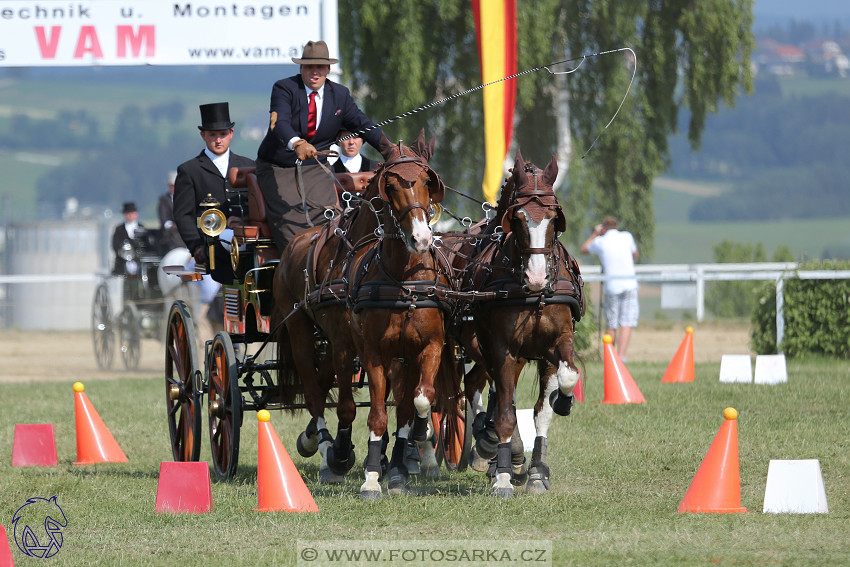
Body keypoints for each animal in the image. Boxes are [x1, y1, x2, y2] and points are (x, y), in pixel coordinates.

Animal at [454, 150, 588, 496]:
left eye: (554, 218)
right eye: (518, 218)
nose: (537, 277)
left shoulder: (557, 343)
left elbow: (551, 400)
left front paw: (538, 471)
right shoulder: (502, 348)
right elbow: (504, 411)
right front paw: (502, 474)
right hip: (478, 346)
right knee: (483, 390)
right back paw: (491, 449)